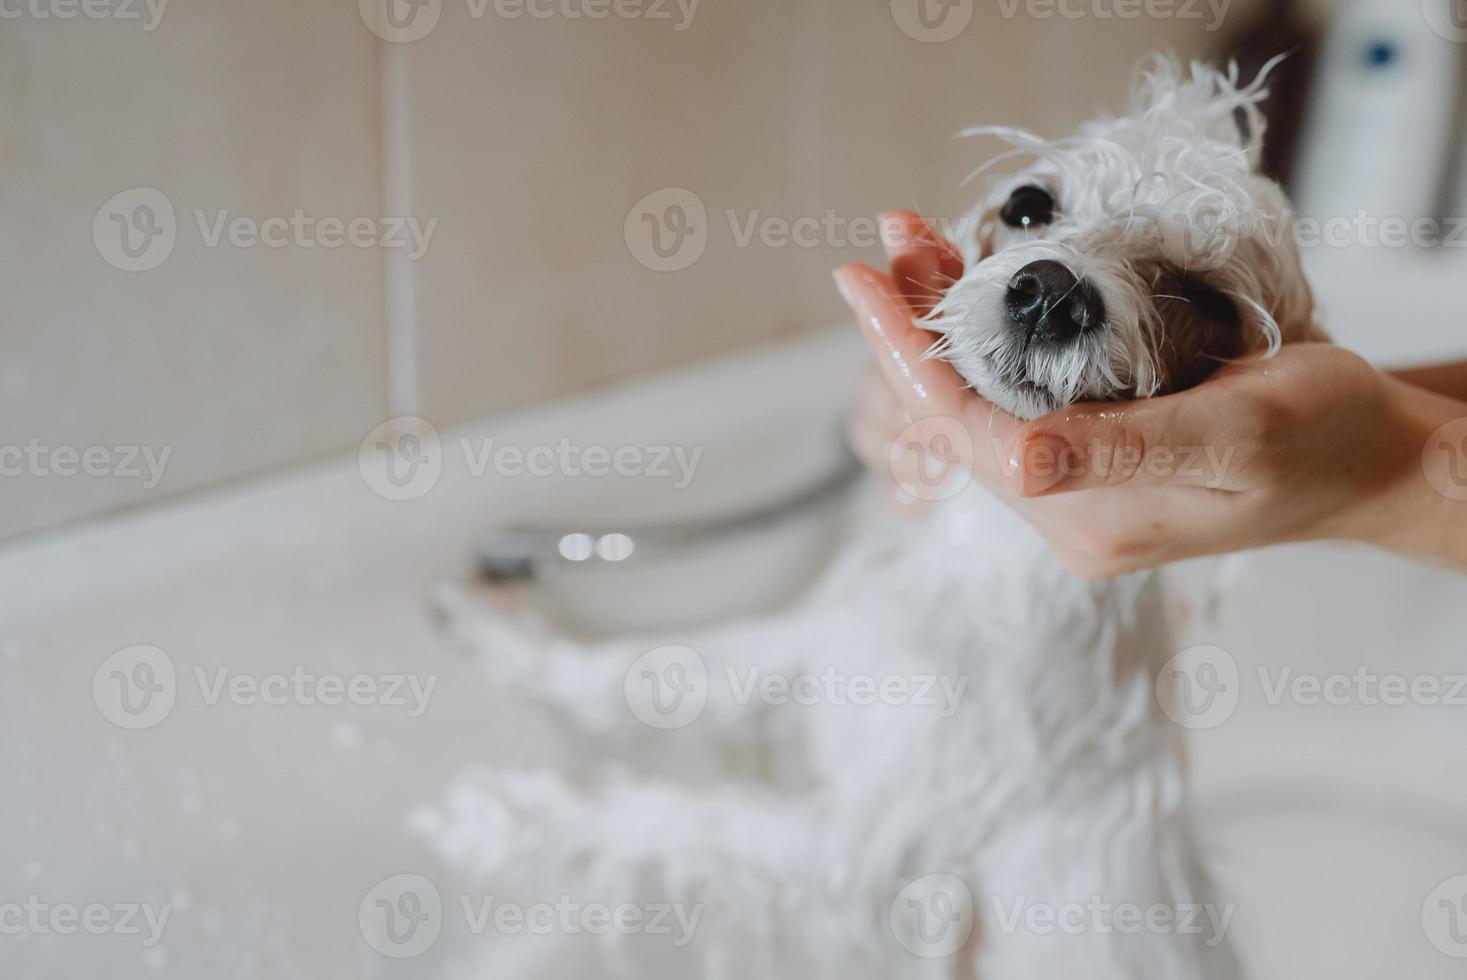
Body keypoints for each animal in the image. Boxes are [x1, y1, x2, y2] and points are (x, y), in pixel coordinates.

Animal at [416, 57, 1320, 974]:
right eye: (1030, 204)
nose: (1050, 294)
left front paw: (501, 815)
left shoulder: (861, 851)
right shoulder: (821, 644)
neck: (989, 580)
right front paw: (502, 631)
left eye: (1205, 302)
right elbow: (649, 667)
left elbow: (680, 814)